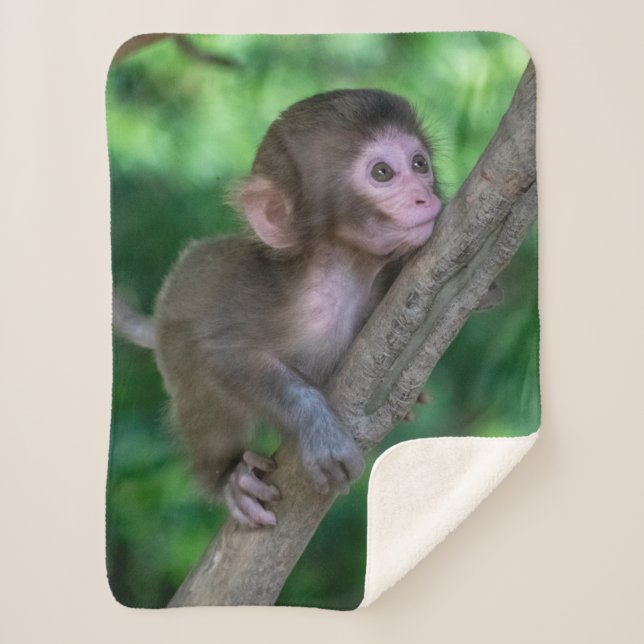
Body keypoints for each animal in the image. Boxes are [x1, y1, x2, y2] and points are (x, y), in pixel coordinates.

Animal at [114, 89, 443, 529]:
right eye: (383, 173)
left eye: (420, 163)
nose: (426, 196)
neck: (342, 276)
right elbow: (223, 352)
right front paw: (316, 429)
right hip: (174, 342)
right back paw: (228, 476)